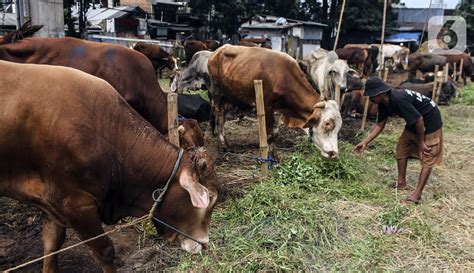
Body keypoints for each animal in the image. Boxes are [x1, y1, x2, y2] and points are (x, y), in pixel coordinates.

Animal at [0, 60, 218, 270]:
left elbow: (52, 246)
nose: (205, 244)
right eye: (211, 199)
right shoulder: (75, 204)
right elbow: (104, 250)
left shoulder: (51, 206)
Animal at [207, 44, 340, 158]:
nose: (334, 153)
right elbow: (270, 135)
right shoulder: (266, 106)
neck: (284, 77)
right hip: (217, 94)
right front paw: (271, 158)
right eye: (327, 124)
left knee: (222, 117)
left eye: (339, 127)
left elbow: (275, 134)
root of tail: (217, 51)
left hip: (229, 97)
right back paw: (223, 145)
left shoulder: (279, 110)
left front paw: (275, 156)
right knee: (219, 117)